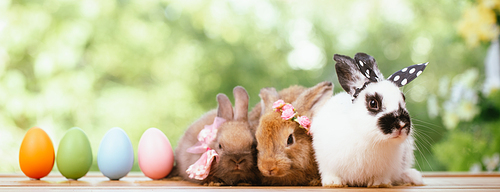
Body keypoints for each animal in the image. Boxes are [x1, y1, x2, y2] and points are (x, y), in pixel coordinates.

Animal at [312, 52, 426, 188]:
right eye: (373, 103)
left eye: (403, 99)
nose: (401, 124)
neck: (371, 139)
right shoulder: (326, 162)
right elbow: (330, 173)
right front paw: (334, 183)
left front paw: (380, 183)